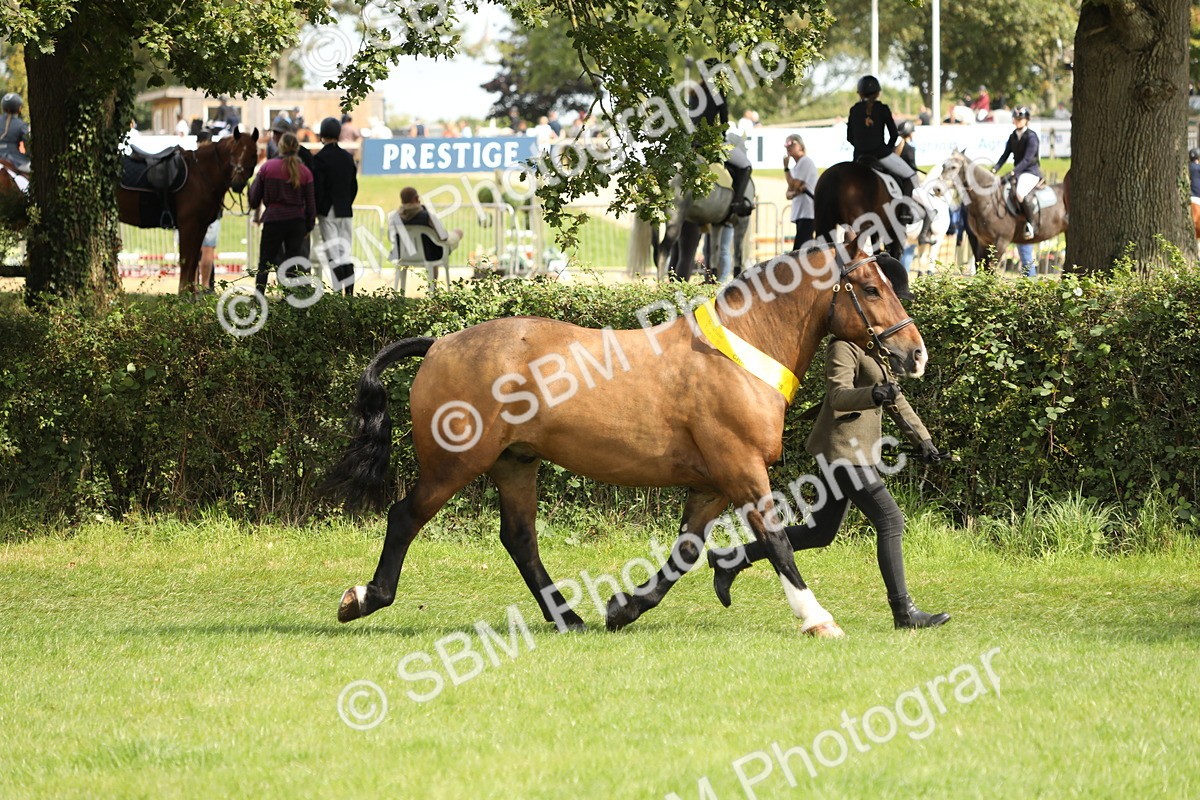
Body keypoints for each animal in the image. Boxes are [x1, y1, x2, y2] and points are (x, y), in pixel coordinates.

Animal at [116, 128, 259, 293]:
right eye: (232, 154)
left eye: (253, 154)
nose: (237, 184)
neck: (200, 175)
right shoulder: (187, 226)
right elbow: (185, 261)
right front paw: (183, 294)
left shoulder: (201, 226)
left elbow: (194, 261)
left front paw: (192, 294)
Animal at [324, 242, 926, 639]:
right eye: (870, 288)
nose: (914, 353)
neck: (739, 354)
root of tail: (441, 343)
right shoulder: (742, 470)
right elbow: (777, 541)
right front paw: (817, 618)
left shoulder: (712, 484)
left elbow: (686, 552)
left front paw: (624, 609)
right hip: (455, 465)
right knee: (405, 517)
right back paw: (365, 598)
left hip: (515, 463)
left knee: (520, 538)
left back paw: (568, 618)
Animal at [937, 150, 1069, 272]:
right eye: (943, 166)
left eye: (954, 167)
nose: (936, 189)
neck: (988, 201)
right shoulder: (983, 241)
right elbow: (983, 269)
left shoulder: (1001, 241)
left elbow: (990, 269)